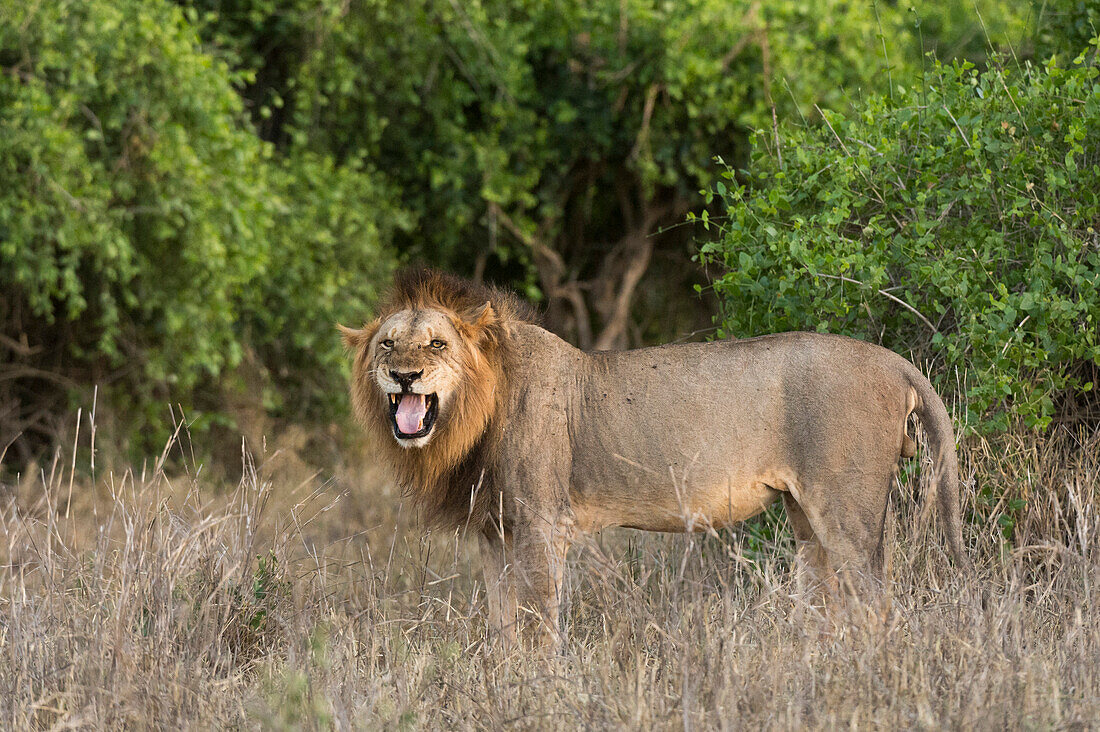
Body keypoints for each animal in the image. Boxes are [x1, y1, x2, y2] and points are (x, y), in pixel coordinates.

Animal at [338, 269, 968, 647]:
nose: (404, 375)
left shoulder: (542, 524)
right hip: (805, 519)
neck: (470, 417)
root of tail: (894, 362)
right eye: (387, 344)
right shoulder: (495, 530)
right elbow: (503, 625)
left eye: (437, 344)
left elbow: (540, 620)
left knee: (878, 604)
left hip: (846, 509)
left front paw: (541, 689)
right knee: (828, 603)